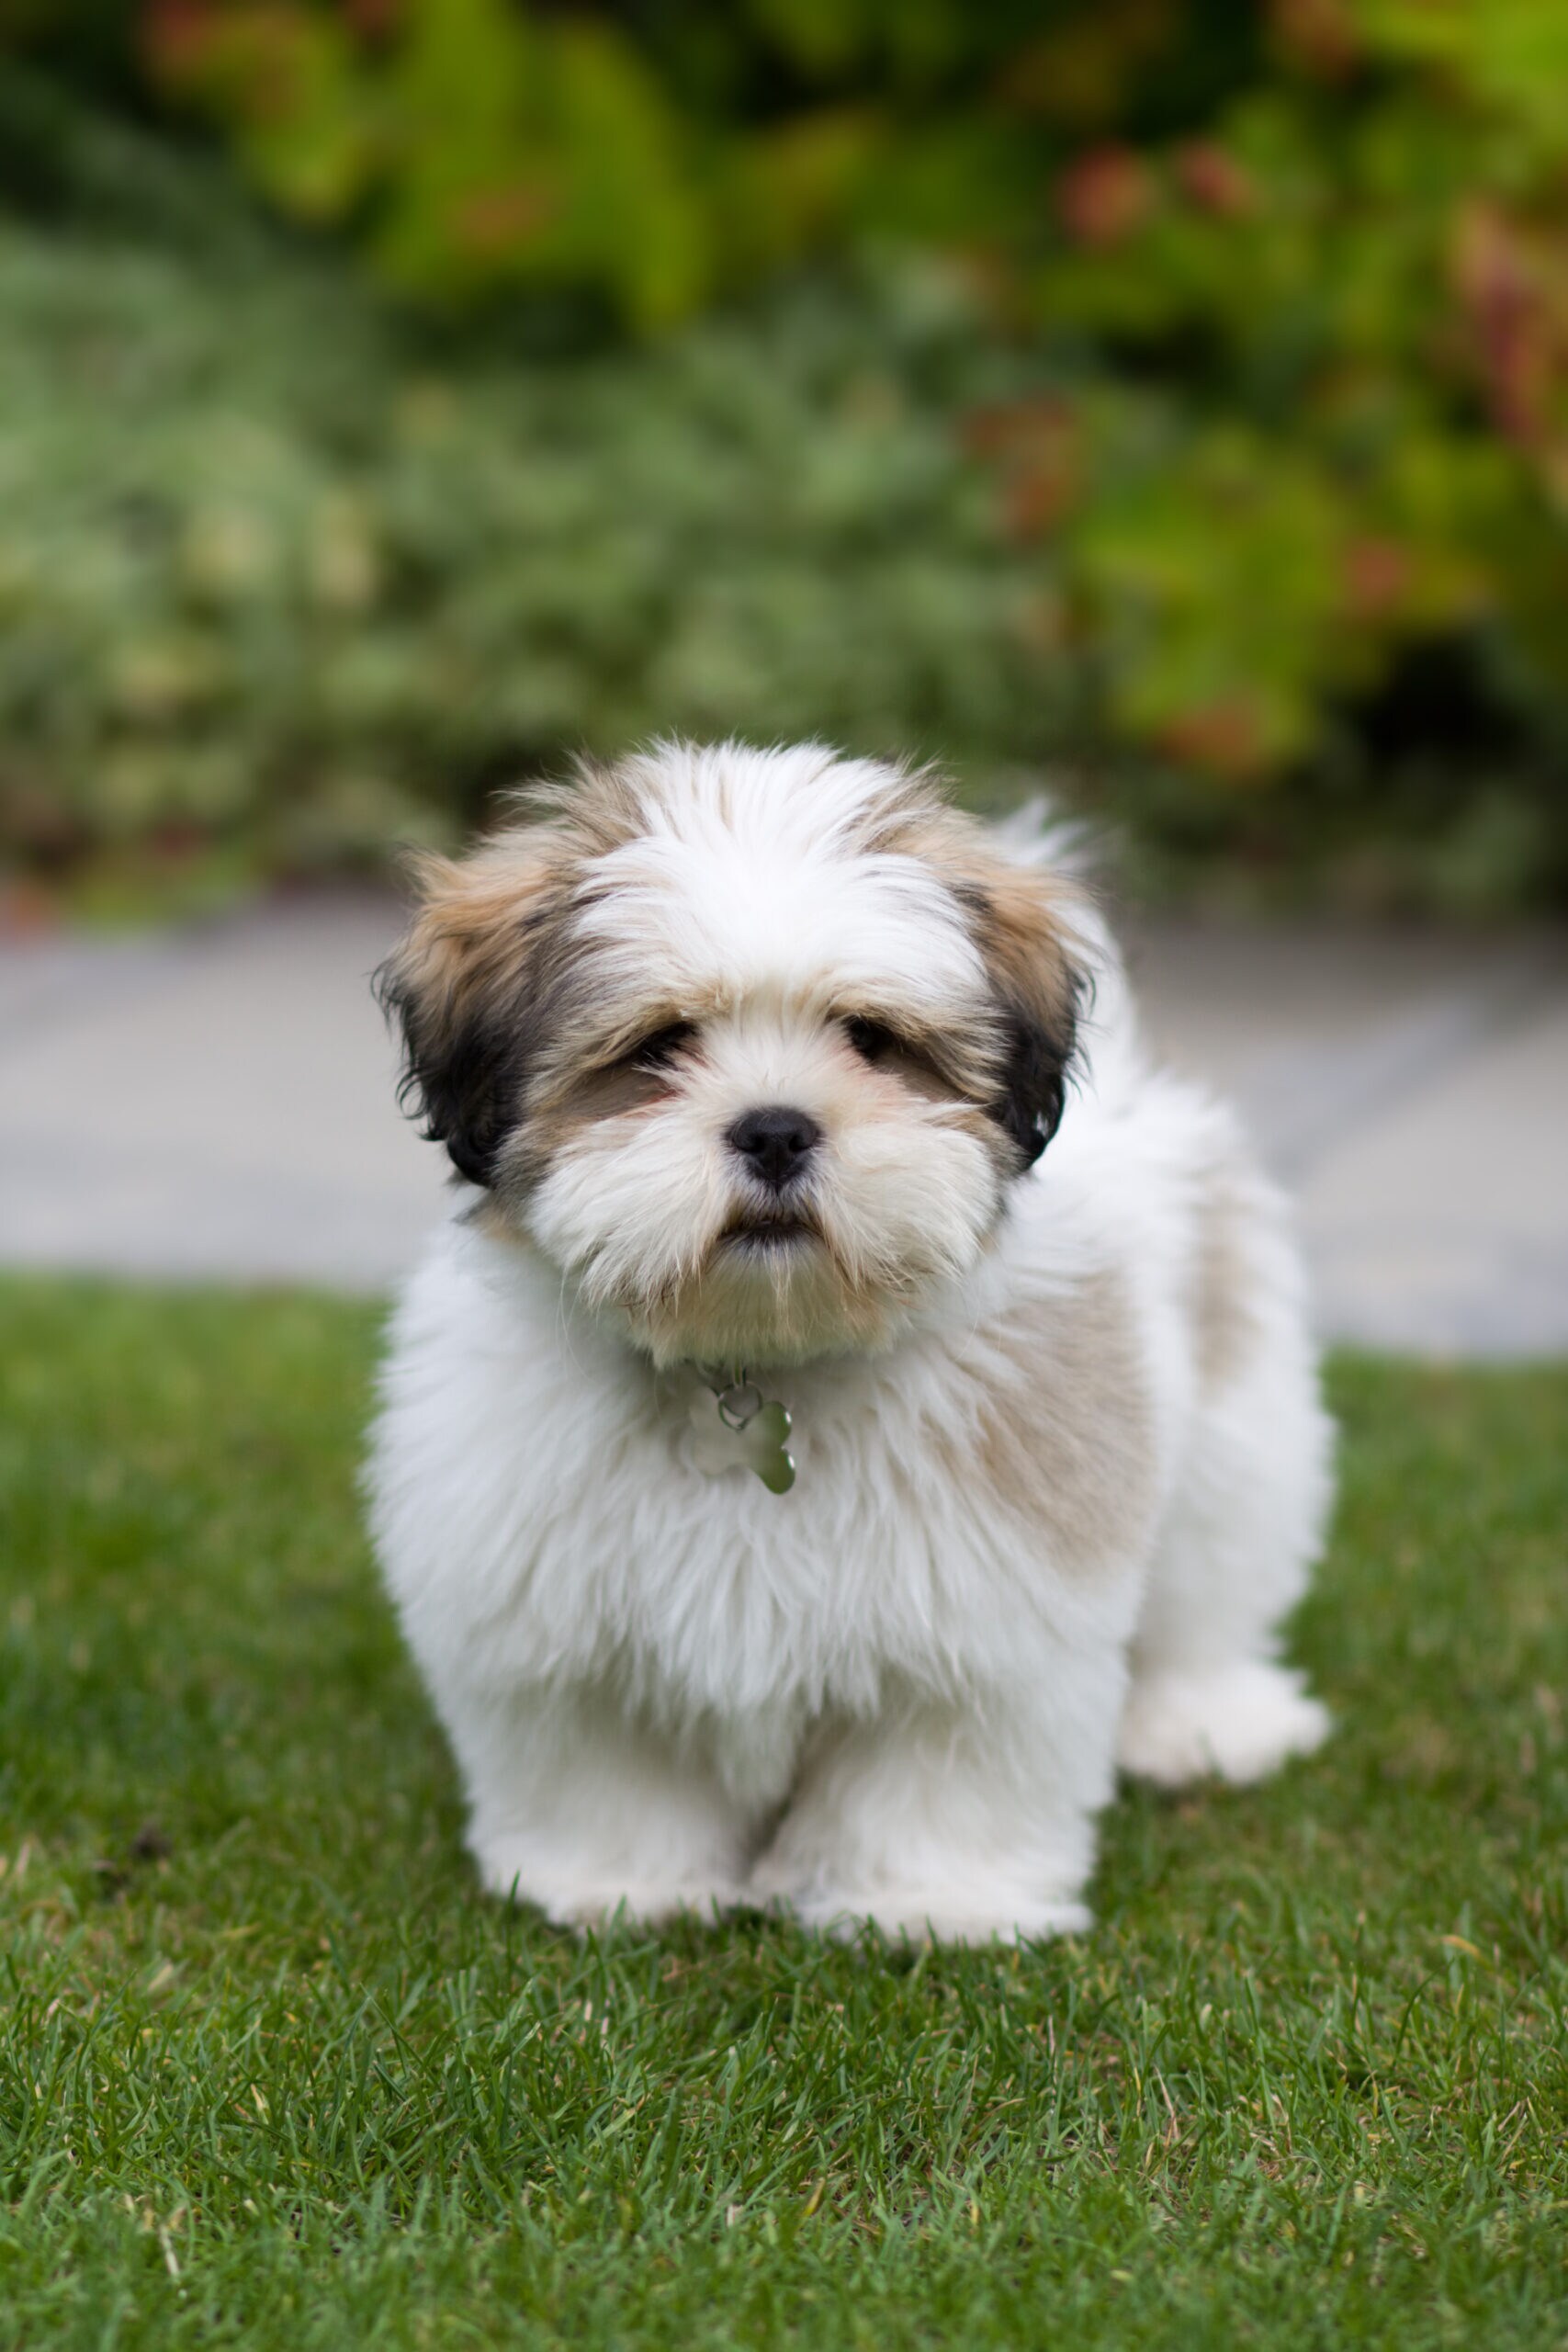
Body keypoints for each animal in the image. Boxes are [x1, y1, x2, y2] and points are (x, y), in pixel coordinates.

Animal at [368, 742, 1335, 1938]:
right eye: (659, 1045)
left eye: (872, 1039)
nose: (777, 1129)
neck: (758, 1359)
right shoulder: (557, 1628)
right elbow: (611, 1765)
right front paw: (623, 1885)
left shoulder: (983, 1615)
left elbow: (935, 1769)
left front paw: (929, 1902)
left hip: (1234, 1432)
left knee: (1211, 1583)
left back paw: (1204, 1724)